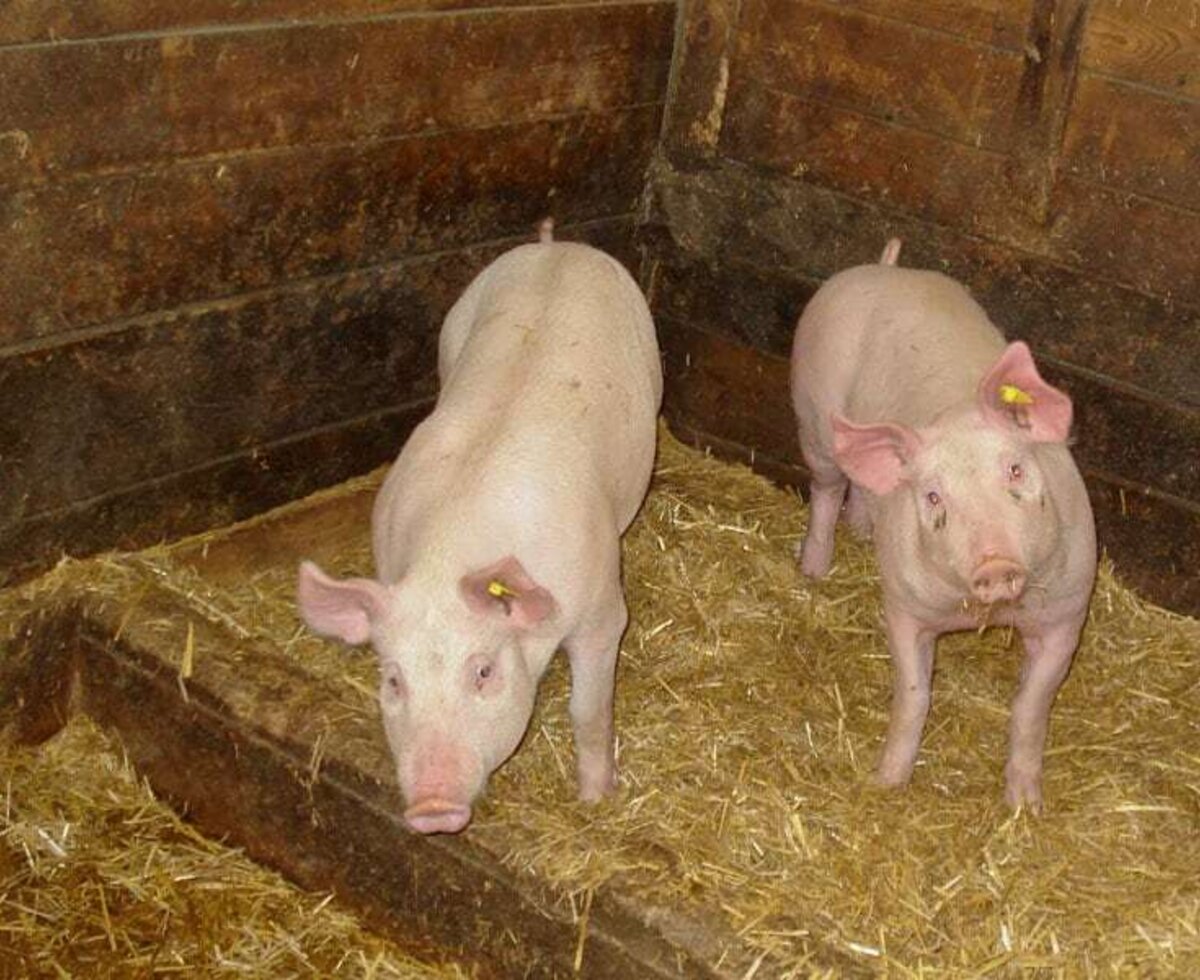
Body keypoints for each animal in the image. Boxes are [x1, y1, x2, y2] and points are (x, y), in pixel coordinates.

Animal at [296, 223, 662, 833]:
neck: (450, 551)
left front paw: (596, 801)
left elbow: (588, 710)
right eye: (393, 680)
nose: (431, 808)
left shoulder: (602, 609)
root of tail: (557, 247)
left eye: (484, 672)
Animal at [790, 240, 1096, 810]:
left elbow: (1031, 707)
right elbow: (914, 696)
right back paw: (813, 571)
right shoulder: (904, 608)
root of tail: (885, 270)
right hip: (812, 421)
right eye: (934, 496)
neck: (986, 613)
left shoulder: (1068, 612)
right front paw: (886, 783)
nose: (994, 563)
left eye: (1015, 469)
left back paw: (862, 532)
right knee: (825, 490)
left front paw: (1025, 808)